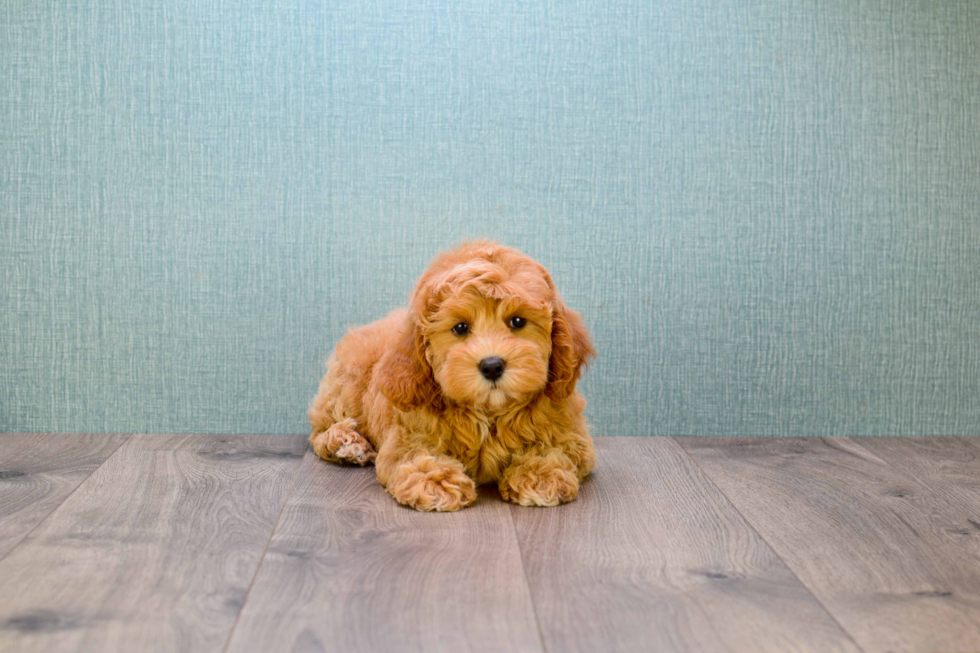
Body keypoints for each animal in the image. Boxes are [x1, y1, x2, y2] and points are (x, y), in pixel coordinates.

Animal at [310, 239, 592, 510]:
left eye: (518, 321)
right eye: (460, 328)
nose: (492, 365)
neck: (488, 412)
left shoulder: (571, 431)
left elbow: (558, 447)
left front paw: (540, 475)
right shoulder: (406, 436)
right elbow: (415, 455)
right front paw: (436, 481)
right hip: (347, 385)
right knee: (320, 428)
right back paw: (346, 443)